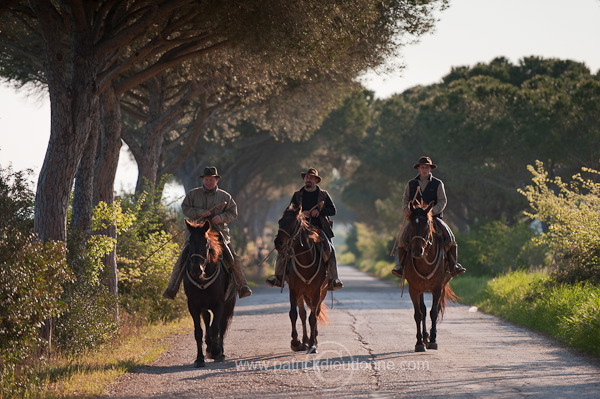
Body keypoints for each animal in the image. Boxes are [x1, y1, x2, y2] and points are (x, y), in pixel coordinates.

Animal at [183, 219, 237, 368]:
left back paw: (219, 351)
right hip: (204, 307)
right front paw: (199, 359)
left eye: (206, 243)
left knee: (222, 326)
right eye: (190, 242)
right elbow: (198, 332)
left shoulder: (219, 304)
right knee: (207, 320)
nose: (196, 270)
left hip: (228, 305)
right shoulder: (193, 306)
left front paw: (216, 351)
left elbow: (216, 328)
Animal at [274, 205, 328, 354]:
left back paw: (313, 340)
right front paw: (295, 342)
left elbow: (313, 318)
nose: (278, 243)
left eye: (294, 223)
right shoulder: (294, 290)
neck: (305, 261)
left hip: (322, 292)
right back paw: (304, 340)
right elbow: (294, 314)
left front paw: (313, 344)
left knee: (316, 313)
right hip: (301, 294)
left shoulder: (316, 292)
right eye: (280, 221)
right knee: (303, 314)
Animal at [400, 200, 458, 354]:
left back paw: (431, 337)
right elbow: (419, 314)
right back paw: (425, 337)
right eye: (411, 225)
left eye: (427, 225)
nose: (417, 251)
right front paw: (420, 343)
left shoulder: (437, 288)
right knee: (423, 310)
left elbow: (434, 313)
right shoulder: (414, 289)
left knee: (434, 310)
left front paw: (433, 341)